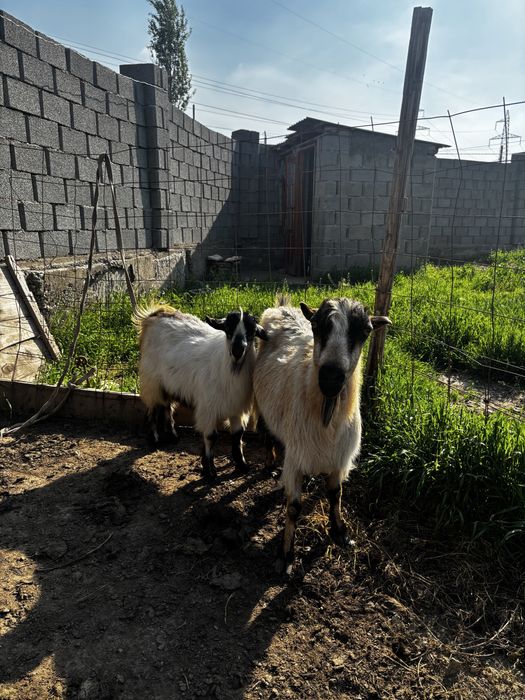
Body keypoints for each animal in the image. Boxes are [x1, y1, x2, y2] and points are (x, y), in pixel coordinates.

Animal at [133, 304, 268, 479]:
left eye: (251, 331)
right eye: (228, 329)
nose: (238, 350)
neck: (229, 370)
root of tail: (154, 315)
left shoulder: (237, 409)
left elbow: (238, 435)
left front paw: (242, 465)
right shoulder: (207, 410)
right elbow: (211, 436)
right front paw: (209, 470)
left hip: (168, 385)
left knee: (167, 407)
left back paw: (173, 436)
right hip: (152, 383)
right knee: (153, 409)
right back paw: (154, 439)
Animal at [253, 297, 390, 574]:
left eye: (365, 331)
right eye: (316, 326)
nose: (330, 378)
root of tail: (282, 305)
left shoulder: (339, 458)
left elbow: (335, 494)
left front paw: (340, 532)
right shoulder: (296, 458)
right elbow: (294, 507)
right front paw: (285, 555)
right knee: (267, 432)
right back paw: (270, 461)